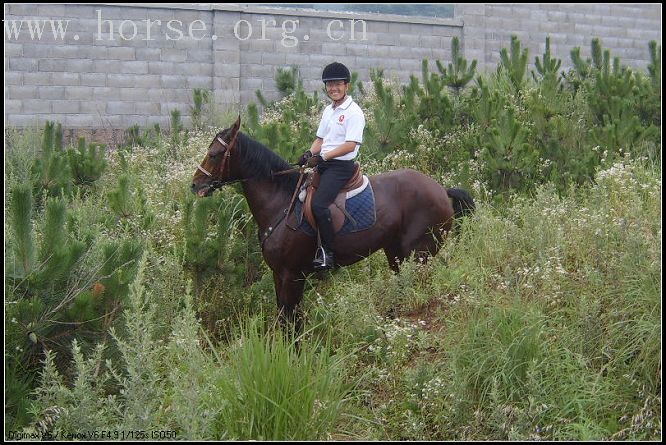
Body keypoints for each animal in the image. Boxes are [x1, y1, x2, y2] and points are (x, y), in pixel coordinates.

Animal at [189, 118, 474, 324]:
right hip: (396, 253)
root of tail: (441, 190)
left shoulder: (292, 275)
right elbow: (283, 319)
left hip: (419, 255)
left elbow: (291, 321)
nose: (196, 185)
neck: (281, 203)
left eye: (214, 154)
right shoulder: (279, 274)